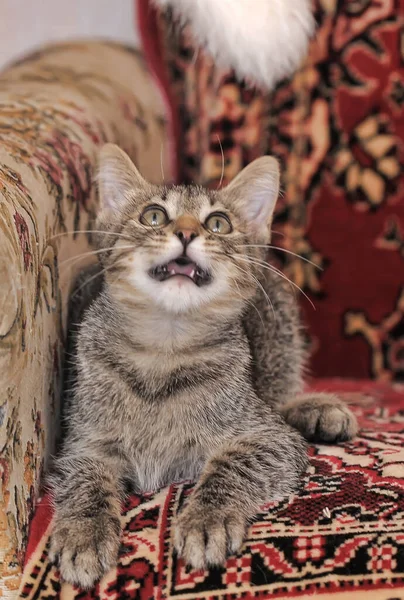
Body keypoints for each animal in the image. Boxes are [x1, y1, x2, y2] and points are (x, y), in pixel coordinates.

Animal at [50, 144, 356, 584]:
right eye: (154, 216)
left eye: (218, 223)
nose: (187, 233)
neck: (164, 350)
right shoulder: (83, 445)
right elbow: (84, 483)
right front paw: (83, 531)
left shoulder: (269, 438)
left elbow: (231, 465)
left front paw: (206, 519)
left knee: (278, 399)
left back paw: (317, 410)